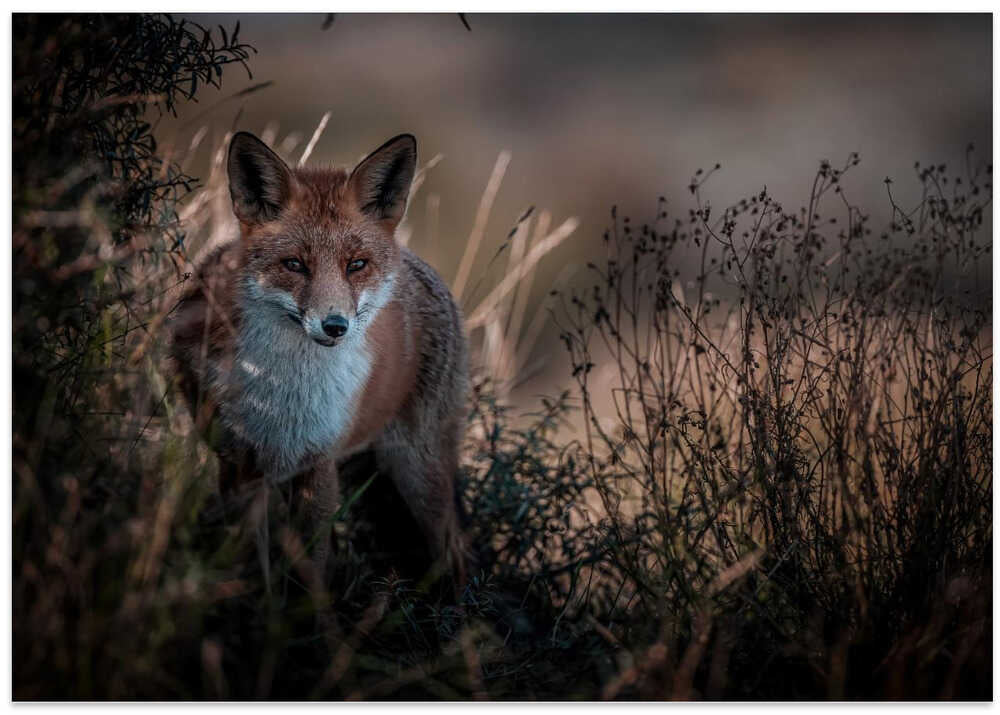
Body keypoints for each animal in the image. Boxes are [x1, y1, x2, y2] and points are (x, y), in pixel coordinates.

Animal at [170, 131, 470, 593]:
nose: (335, 326)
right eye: (294, 264)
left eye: (356, 265)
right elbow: (246, 557)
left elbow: (312, 572)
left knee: (453, 554)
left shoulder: (318, 462)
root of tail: (421, 265)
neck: (282, 393)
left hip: (420, 473)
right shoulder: (238, 465)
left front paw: (307, 612)